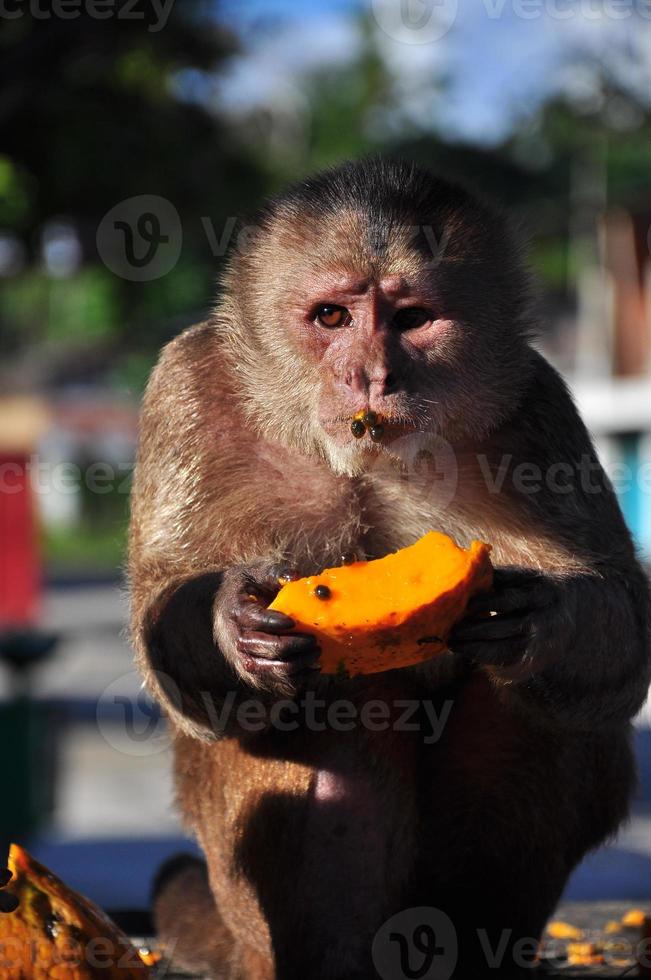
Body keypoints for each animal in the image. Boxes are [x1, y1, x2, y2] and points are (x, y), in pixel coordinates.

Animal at [129, 157, 651, 976]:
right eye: (332, 318)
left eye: (410, 320)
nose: (373, 377)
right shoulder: (185, 382)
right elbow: (169, 621)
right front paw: (233, 627)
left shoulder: (534, 406)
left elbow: (621, 631)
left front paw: (542, 623)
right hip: (247, 919)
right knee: (336, 702)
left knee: (541, 711)